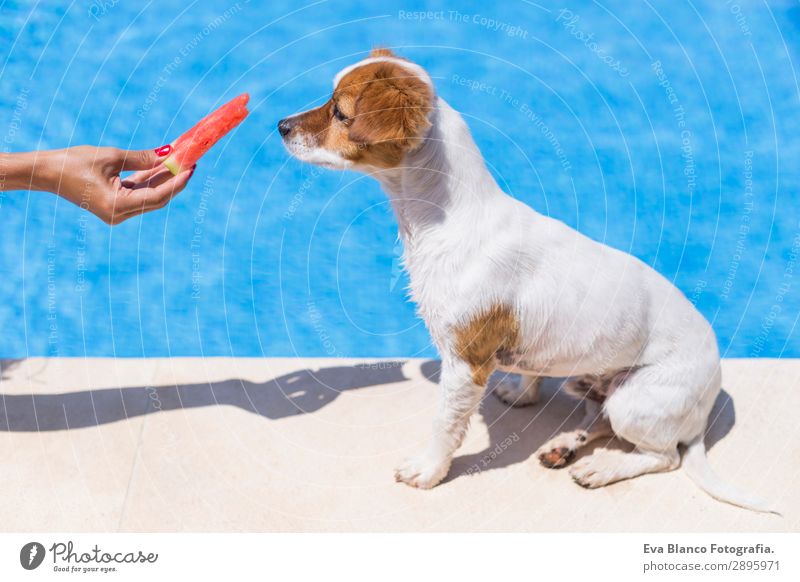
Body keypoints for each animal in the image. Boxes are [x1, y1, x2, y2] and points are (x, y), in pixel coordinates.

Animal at [280, 50, 776, 516]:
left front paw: (429, 470)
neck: (442, 220)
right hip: (595, 387)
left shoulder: (465, 362)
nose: (280, 124)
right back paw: (566, 445)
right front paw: (521, 394)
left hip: (636, 400)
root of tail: (705, 410)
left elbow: (445, 425)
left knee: (661, 455)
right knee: (601, 420)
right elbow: (532, 368)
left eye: (339, 112)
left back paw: (602, 467)